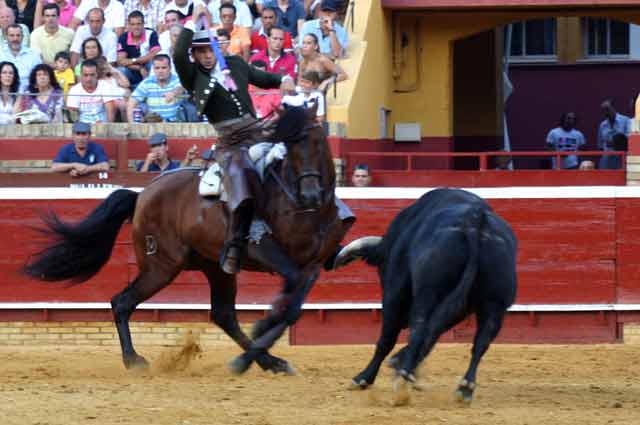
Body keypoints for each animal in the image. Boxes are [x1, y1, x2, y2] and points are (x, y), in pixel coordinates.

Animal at [25, 106, 352, 374]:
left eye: (318, 142)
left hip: (216, 267)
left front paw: (264, 338)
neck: (309, 212)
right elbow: (288, 300)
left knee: (223, 314)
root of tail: (141, 195)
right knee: (122, 302)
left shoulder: (314, 264)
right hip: (162, 266)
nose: (310, 194)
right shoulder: (266, 250)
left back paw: (266, 362)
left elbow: (293, 308)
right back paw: (134, 360)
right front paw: (263, 325)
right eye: (290, 147)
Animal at [332, 189, 516, 400]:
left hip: (428, 293)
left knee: (418, 329)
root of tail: (475, 220)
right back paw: (465, 388)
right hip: (495, 304)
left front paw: (366, 377)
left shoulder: (394, 293)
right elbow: (434, 333)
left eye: (382, 267)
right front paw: (404, 364)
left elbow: (388, 339)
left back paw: (401, 376)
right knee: (480, 341)